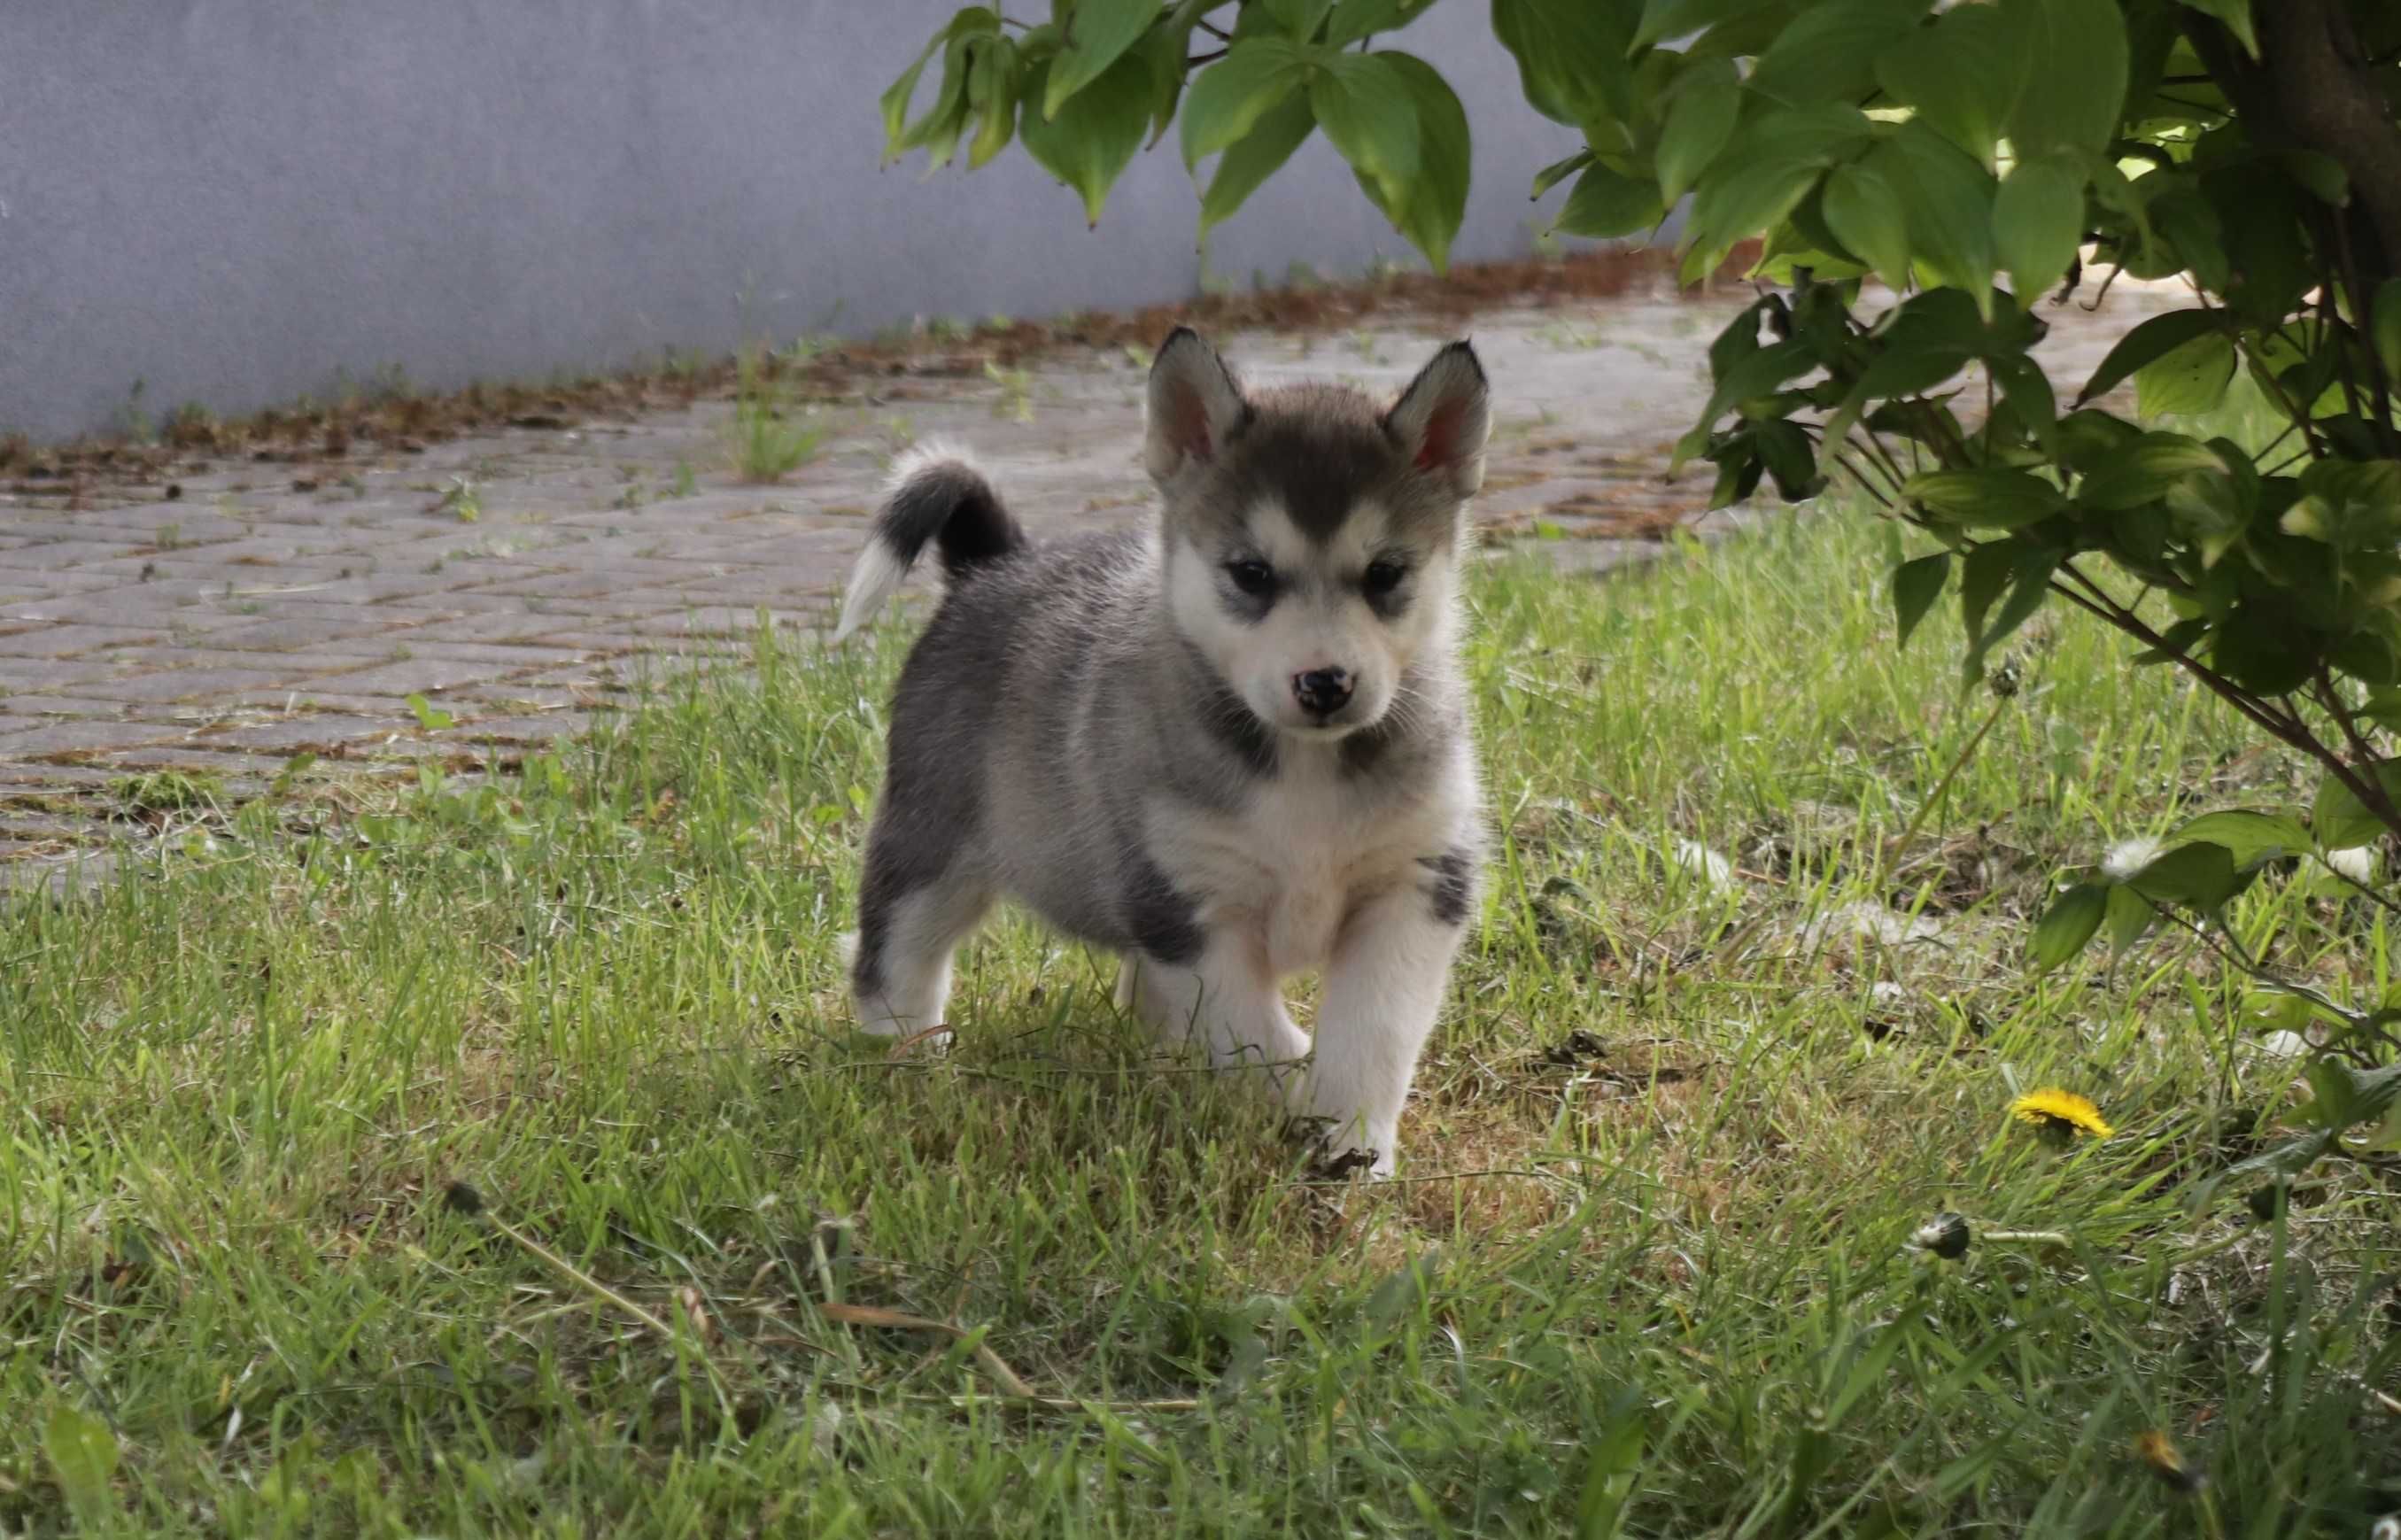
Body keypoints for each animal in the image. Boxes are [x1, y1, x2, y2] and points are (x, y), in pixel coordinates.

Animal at [835, 326, 1488, 1177]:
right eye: (1250, 573)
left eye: (1384, 574)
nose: (1325, 683)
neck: (1303, 767)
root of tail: (996, 562)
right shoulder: (1186, 907)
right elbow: (1255, 1036)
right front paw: (1297, 1104)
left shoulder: (1415, 886)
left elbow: (1372, 1032)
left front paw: (1351, 1143)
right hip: (931, 843)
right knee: (894, 947)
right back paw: (904, 1050)